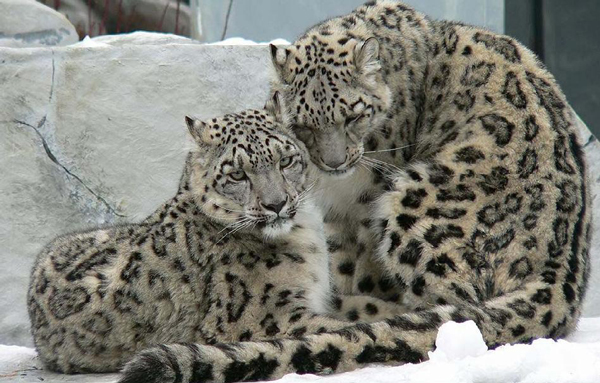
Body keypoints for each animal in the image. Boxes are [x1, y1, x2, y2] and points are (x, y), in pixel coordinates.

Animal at [120, 0, 592, 383]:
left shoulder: (366, 197)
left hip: (412, 201)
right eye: (304, 123)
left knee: (462, 308)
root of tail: (563, 270)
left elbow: (355, 263)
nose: (333, 162)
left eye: (353, 115)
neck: (338, 191)